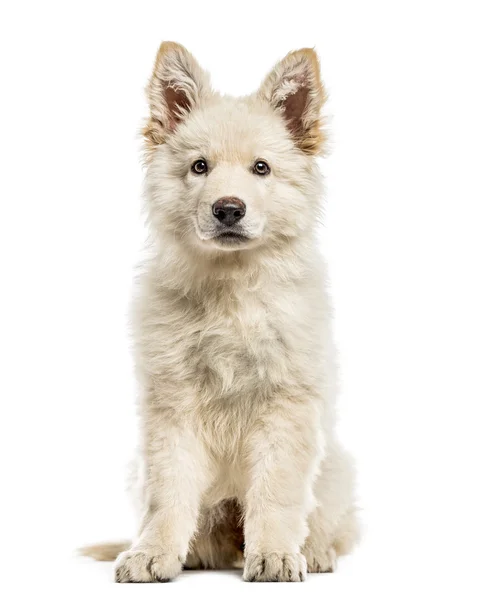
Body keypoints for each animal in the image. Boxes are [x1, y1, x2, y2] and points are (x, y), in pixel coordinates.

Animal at [82, 41, 356, 580]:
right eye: (199, 167)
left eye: (261, 168)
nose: (228, 209)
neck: (232, 291)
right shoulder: (171, 406)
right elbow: (169, 494)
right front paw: (153, 553)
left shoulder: (287, 405)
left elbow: (276, 492)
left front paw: (275, 554)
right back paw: (189, 552)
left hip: (334, 464)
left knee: (324, 519)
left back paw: (314, 551)